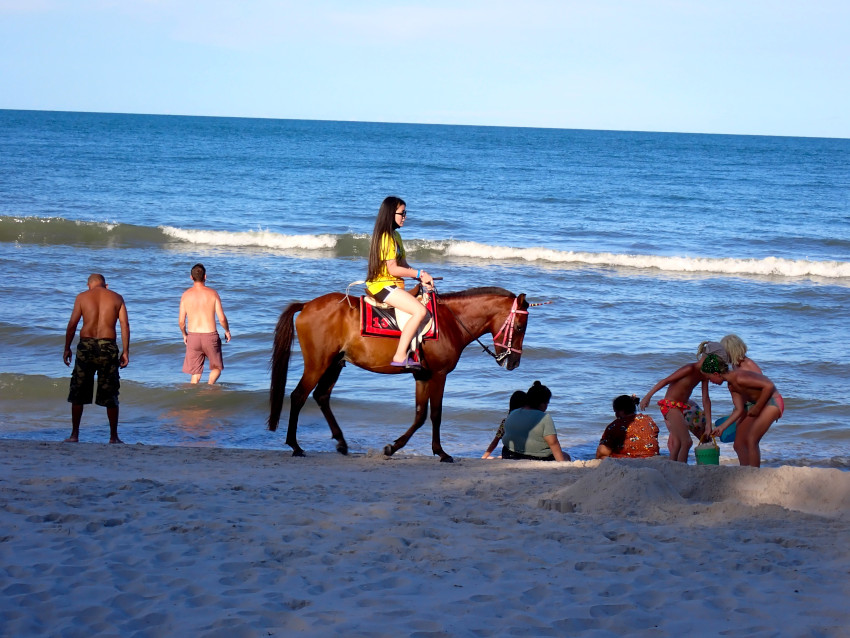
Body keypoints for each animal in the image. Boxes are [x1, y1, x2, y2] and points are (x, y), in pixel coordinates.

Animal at [268, 288, 528, 462]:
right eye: (519, 327)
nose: (514, 362)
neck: (450, 322)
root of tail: (307, 305)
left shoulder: (422, 376)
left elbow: (420, 415)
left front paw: (393, 447)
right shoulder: (438, 375)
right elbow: (435, 415)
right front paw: (441, 452)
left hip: (334, 364)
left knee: (321, 396)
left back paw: (341, 442)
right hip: (318, 364)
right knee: (299, 396)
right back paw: (295, 445)